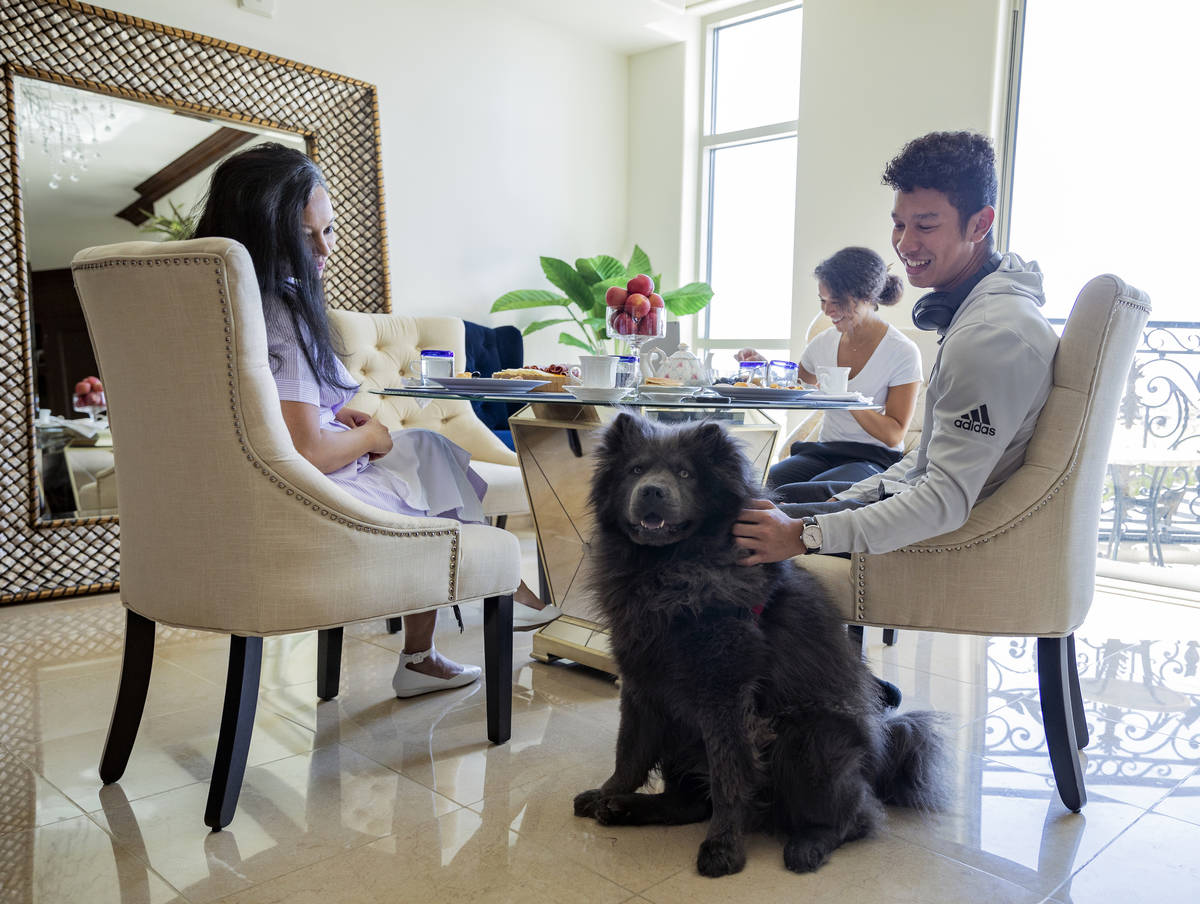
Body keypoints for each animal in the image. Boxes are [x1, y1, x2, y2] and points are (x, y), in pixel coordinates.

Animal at [571, 415, 945, 873]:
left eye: (684, 474)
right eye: (636, 470)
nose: (652, 491)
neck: (668, 576)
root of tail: (879, 754)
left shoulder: (725, 694)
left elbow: (729, 776)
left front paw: (723, 849)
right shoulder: (642, 681)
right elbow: (628, 752)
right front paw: (605, 794)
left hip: (809, 738)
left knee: (856, 816)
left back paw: (808, 847)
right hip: (687, 735)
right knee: (687, 803)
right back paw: (624, 808)